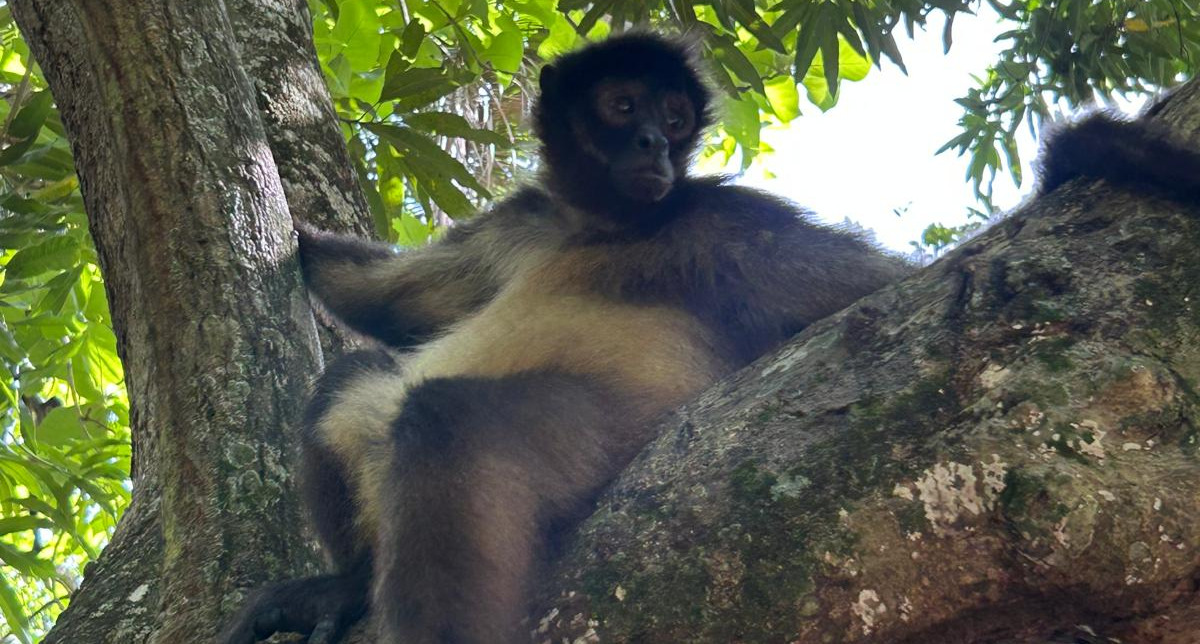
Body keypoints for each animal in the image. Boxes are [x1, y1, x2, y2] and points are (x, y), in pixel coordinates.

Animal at [221, 33, 1200, 644]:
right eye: (623, 106)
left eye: (674, 117)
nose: (655, 144)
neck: (606, 227)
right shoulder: (525, 222)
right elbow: (382, 299)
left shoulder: (718, 222)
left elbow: (879, 295)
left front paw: (1092, 155)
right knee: (355, 377)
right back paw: (349, 586)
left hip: (607, 431)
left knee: (450, 423)